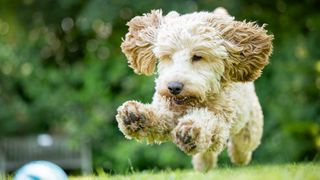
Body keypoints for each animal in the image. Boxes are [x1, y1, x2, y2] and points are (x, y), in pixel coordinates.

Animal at [115, 7, 272, 171]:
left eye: (197, 56)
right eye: (168, 56)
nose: (174, 87)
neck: (192, 103)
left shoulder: (220, 121)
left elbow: (208, 122)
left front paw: (190, 131)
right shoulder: (168, 111)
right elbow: (160, 116)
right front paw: (136, 116)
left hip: (250, 126)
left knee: (243, 144)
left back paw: (239, 157)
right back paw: (203, 164)